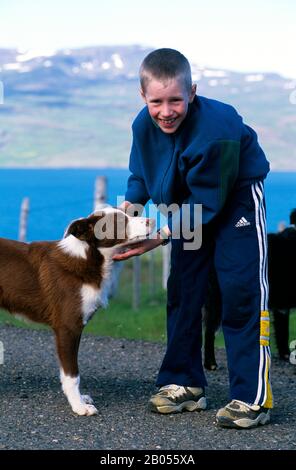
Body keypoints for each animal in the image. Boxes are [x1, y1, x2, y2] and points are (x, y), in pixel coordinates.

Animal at [0, 208, 154, 414]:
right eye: (120, 221)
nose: (152, 220)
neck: (89, 257)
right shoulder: (68, 327)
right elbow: (72, 374)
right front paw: (79, 406)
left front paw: (80, 399)